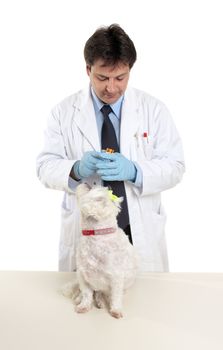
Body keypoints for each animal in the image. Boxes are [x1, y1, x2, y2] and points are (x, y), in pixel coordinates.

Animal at [69, 185, 139, 318]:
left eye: (91, 189)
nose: (87, 183)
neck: (96, 236)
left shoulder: (116, 277)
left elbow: (115, 296)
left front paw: (116, 310)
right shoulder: (83, 275)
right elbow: (86, 294)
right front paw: (84, 306)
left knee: (103, 293)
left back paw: (101, 300)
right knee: (94, 292)